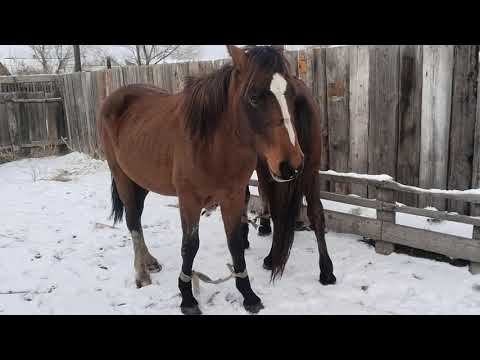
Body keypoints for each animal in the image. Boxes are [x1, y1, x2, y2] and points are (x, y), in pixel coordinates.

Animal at [98, 45, 304, 316]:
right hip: (123, 178)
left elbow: (235, 242)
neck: (211, 145)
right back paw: (142, 274)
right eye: (253, 97)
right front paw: (187, 298)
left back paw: (150, 262)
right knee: (133, 221)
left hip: (141, 182)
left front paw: (248, 294)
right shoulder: (189, 201)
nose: (291, 165)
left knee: (138, 221)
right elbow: (190, 246)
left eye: (291, 94)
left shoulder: (233, 197)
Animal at [242, 77, 336, 286]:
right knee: (316, 211)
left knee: (279, 210)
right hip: (311, 168)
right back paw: (326, 270)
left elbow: (258, 196)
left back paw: (271, 258)